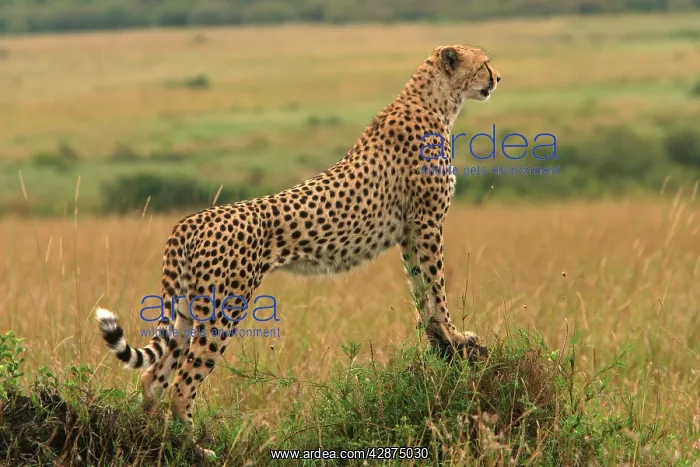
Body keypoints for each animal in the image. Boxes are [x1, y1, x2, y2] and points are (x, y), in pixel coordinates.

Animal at [96, 44, 500, 458]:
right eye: (484, 63)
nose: (497, 78)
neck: (436, 100)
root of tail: (189, 220)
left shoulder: (410, 231)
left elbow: (420, 288)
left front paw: (438, 338)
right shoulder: (427, 222)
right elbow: (437, 286)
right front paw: (454, 335)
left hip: (187, 309)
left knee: (152, 378)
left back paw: (157, 440)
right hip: (224, 307)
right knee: (181, 384)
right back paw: (196, 448)